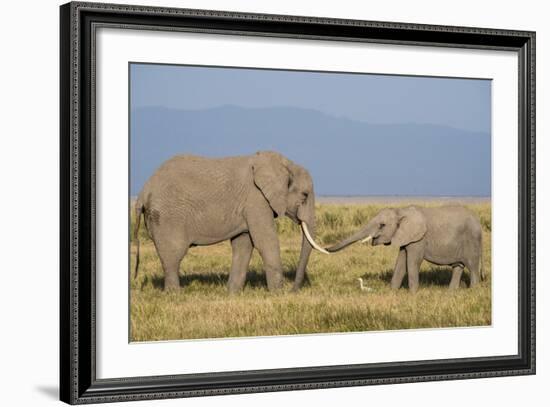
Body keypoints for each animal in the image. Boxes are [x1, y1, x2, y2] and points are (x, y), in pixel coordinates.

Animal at [134, 151, 330, 292]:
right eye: (304, 195)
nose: (293, 290)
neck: (285, 164)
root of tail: (144, 190)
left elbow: (243, 244)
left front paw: (233, 293)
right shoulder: (256, 199)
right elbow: (266, 242)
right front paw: (278, 294)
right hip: (167, 217)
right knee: (173, 256)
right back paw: (175, 295)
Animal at [326, 207, 486, 294]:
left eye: (382, 225)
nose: (326, 249)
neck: (400, 211)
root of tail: (479, 223)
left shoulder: (418, 239)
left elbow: (412, 262)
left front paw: (413, 293)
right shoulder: (405, 237)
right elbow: (401, 261)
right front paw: (392, 291)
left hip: (472, 240)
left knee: (472, 266)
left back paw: (473, 290)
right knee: (458, 266)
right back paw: (451, 292)